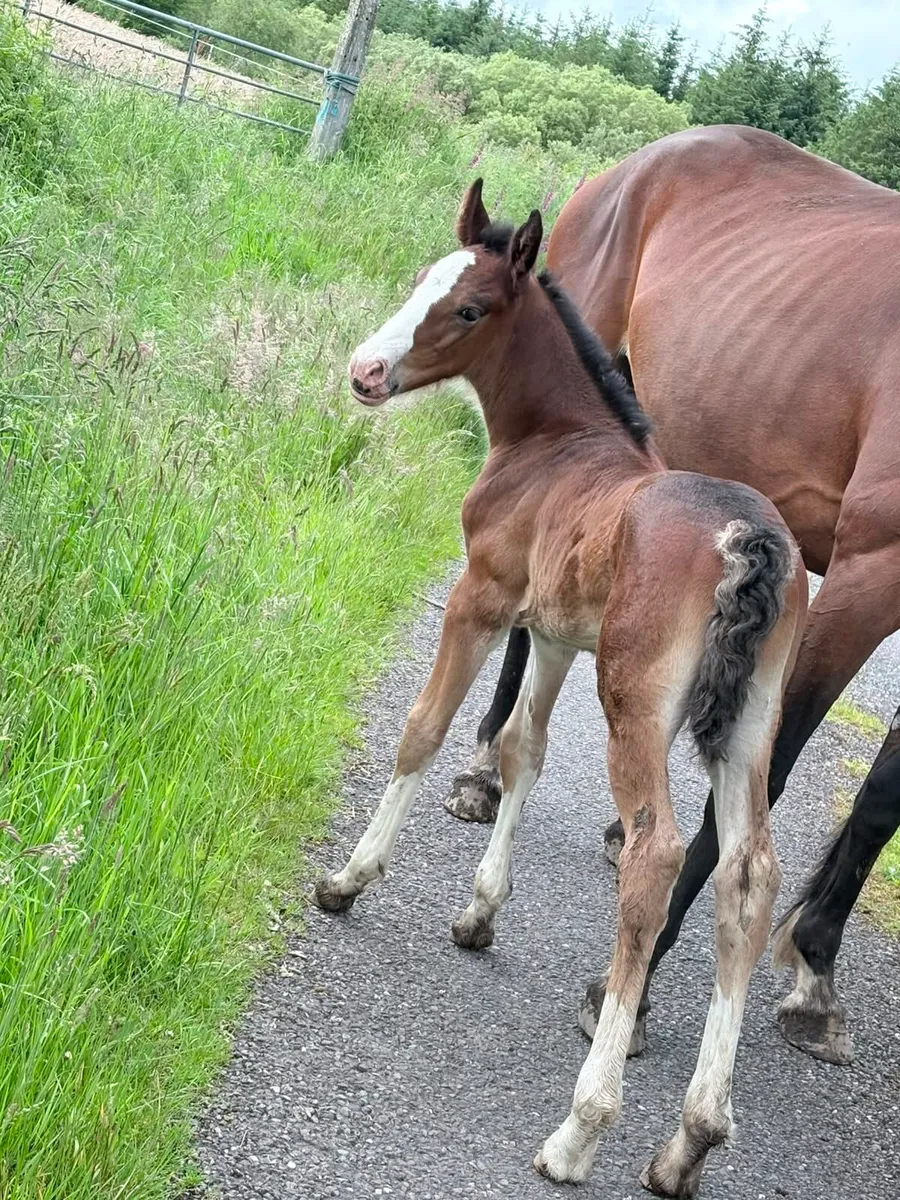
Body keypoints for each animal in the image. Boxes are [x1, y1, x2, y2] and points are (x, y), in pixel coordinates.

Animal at [314, 183, 807, 1196]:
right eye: (420, 277)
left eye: (470, 309)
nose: (367, 372)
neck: (557, 446)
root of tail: (750, 540)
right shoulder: (549, 634)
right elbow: (521, 749)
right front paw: (478, 911)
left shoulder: (484, 598)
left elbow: (425, 729)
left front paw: (350, 878)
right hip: (751, 721)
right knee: (749, 874)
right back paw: (691, 1139)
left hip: (637, 703)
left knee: (656, 855)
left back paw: (582, 1128)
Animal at [445, 124, 900, 1067]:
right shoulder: (871, 572)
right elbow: (772, 773)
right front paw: (636, 987)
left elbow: (884, 796)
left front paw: (815, 970)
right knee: (526, 628)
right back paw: (481, 771)